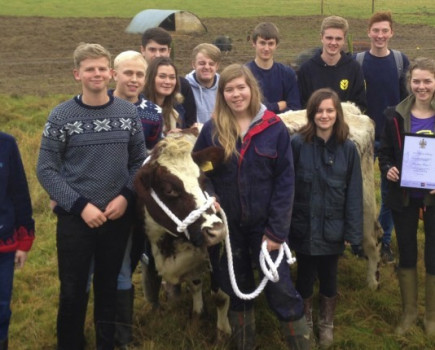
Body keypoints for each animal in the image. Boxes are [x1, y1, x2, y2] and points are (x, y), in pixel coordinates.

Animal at [135, 131, 232, 336]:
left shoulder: (216, 253)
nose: (217, 230)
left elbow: (220, 295)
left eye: (203, 180)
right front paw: (197, 315)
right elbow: (195, 284)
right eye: (169, 189)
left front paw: (223, 331)